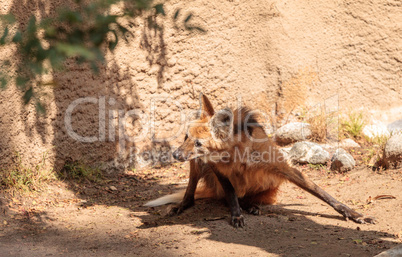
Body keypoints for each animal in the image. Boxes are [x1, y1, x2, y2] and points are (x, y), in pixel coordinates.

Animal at [146, 94, 376, 226]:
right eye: (186, 137)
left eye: (198, 143)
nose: (175, 155)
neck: (236, 153)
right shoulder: (216, 167)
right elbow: (231, 193)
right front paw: (236, 215)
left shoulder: (281, 166)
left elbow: (322, 193)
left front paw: (355, 214)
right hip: (199, 165)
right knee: (198, 194)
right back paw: (182, 205)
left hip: (268, 181)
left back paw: (251, 205)